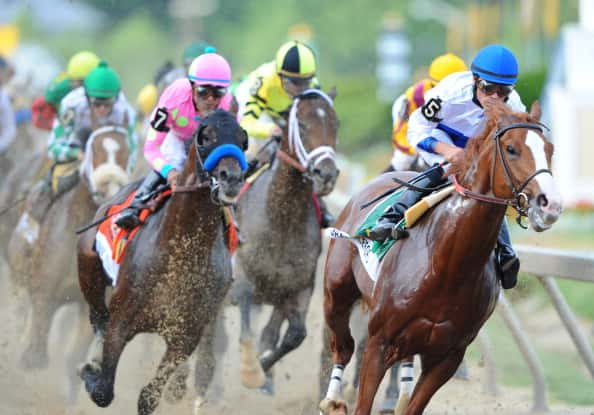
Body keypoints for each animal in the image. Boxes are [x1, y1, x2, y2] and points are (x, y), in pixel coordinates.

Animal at [77, 110, 247, 415]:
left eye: (243, 139)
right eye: (206, 137)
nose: (232, 179)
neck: (181, 253)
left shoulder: (184, 336)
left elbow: (148, 397)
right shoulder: (121, 322)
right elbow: (103, 390)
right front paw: (90, 370)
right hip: (87, 265)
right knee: (98, 317)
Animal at [320, 101, 560, 415]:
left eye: (550, 149)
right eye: (511, 148)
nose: (550, 206)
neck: (447, 265)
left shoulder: (447, 357)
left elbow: (414, 406)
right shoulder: (379, 342)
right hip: (336, 293)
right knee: (343, 345)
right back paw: (333, 399)